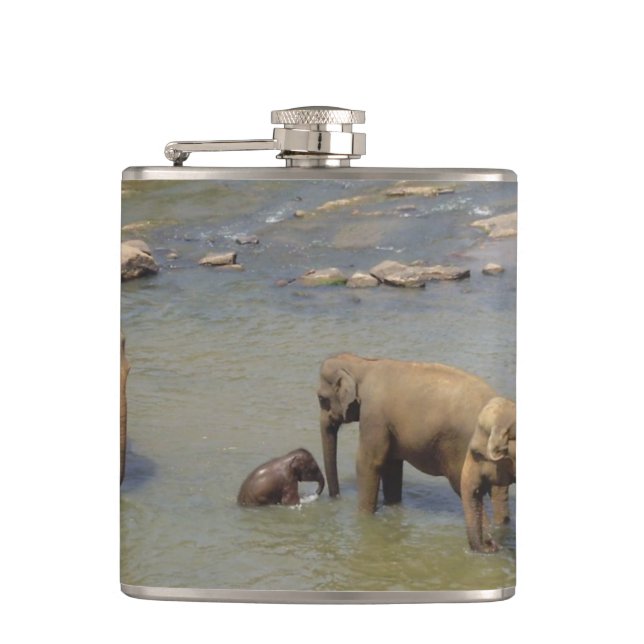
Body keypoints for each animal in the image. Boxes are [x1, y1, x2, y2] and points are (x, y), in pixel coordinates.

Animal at [317, 353, 511, 526]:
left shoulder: (373, 416)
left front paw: (363, 518)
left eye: (321, 398)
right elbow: (392, 465)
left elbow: (369, 463)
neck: (361, 363)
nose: (336, 498)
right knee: (499, 492)